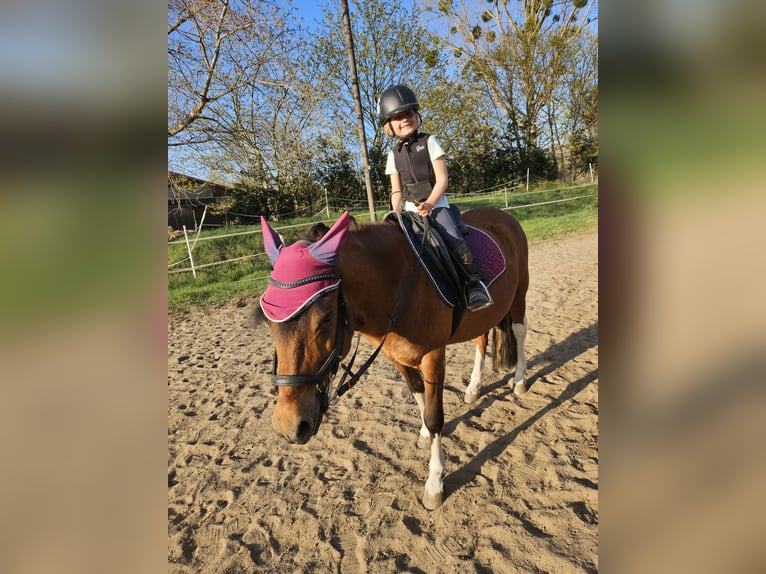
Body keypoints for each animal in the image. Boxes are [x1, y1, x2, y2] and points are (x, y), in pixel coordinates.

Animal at [256, 207, 529, 509]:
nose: (289, 425)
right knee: (482, 340)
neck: (395, 283)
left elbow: (435, 416)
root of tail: (501, 214)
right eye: (268, 322)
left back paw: (519, 381)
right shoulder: (397, 355)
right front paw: (424, 435)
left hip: (520, 292)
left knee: (520, 330)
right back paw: (473, 388)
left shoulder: (433, 355)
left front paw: (435, 482)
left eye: (325, 318)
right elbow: (419, 397)